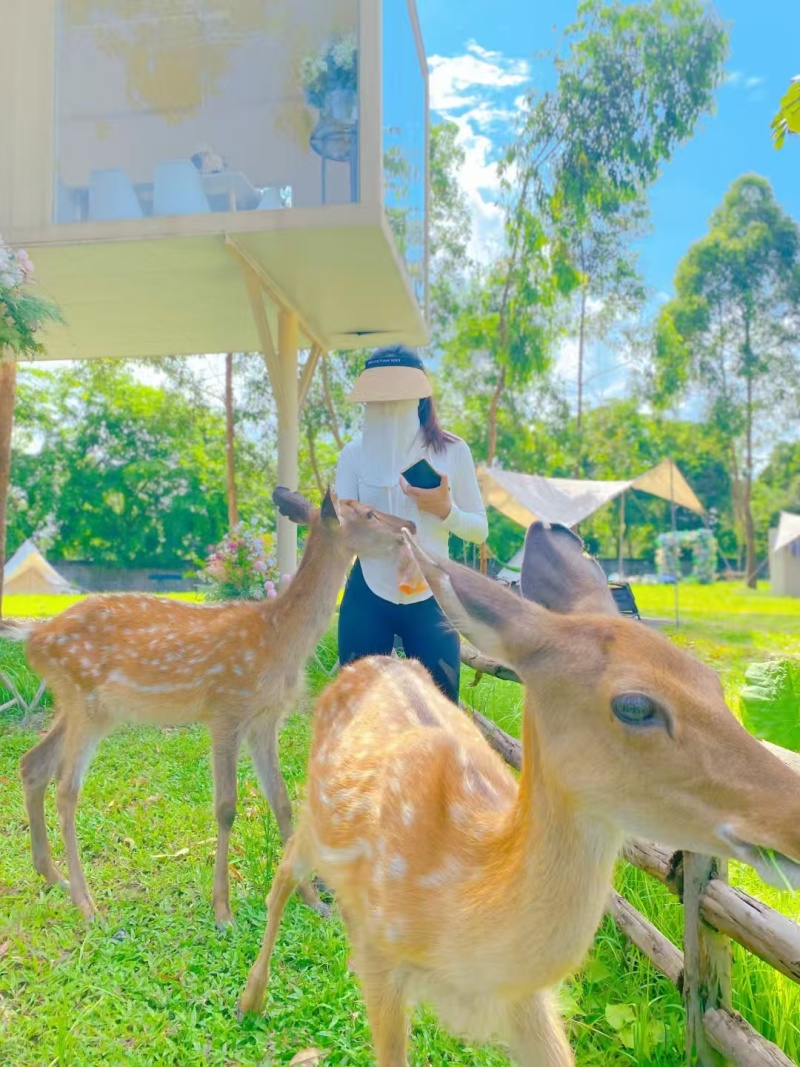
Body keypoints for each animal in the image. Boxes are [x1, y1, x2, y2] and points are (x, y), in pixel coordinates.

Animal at [6, 487, 414, 927]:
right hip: (85, 701)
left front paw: (312, 900)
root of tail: (33, 637)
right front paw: (223, 911)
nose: (408, 525)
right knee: (66, 789)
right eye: (370, 513)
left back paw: (54, 878)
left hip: (81, 706)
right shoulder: (226, 708)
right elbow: (226, 807)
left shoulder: (265, 718)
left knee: (33, 764)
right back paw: (86, 903)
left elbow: (282, 801)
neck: (280, 639)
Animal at [238, 521, 800, 1067]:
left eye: (713, 682)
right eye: (635, 705)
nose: (791, 820)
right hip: (315, 816)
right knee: (284, 868)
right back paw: (252, 997)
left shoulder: (529, 1003)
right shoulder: (378, 953)